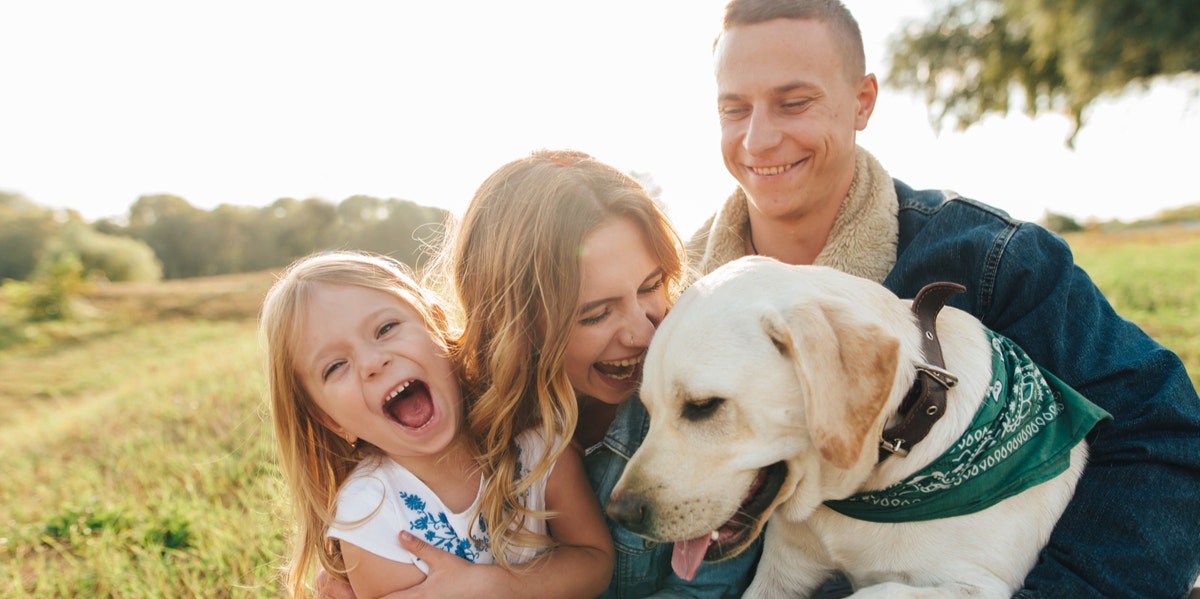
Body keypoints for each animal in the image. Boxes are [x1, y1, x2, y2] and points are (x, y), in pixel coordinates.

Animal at [609, 255, 1104, 597]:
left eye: (703, 406)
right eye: (648, 409)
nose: (620, 513)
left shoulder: (977, 585)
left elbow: (875, 591)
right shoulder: (784, 568)